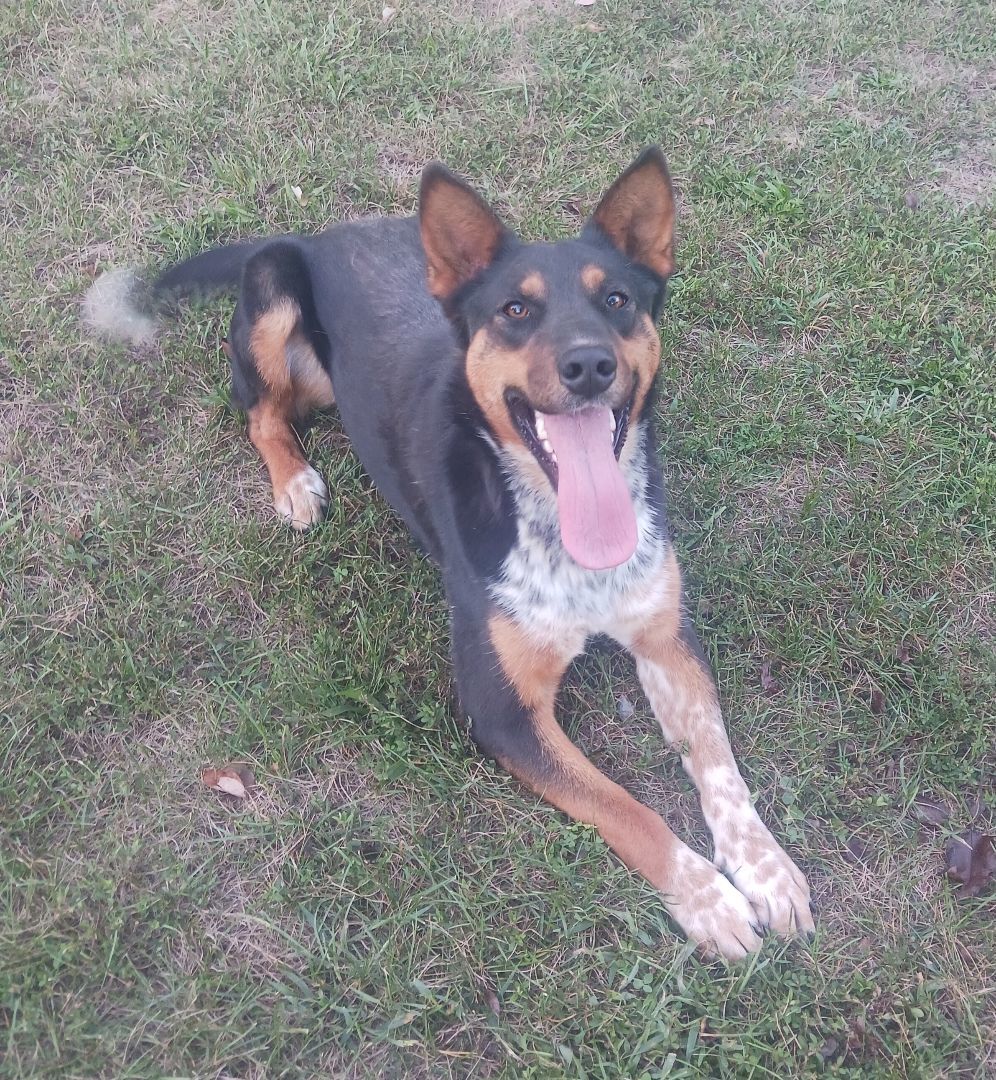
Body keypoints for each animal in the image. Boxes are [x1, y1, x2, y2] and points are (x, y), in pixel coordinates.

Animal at [89, 147, 812, 959]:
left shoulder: (665, 638)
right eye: (515, 311)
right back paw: (295, 482)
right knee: (259, 413)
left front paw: (767, 869)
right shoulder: (499, 708)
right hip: (272, 301)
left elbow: (719, 763)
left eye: (619, 300)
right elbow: (627, 807)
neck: (556, 530)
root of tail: (311, 234)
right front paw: (708, 901)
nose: (590, 365)